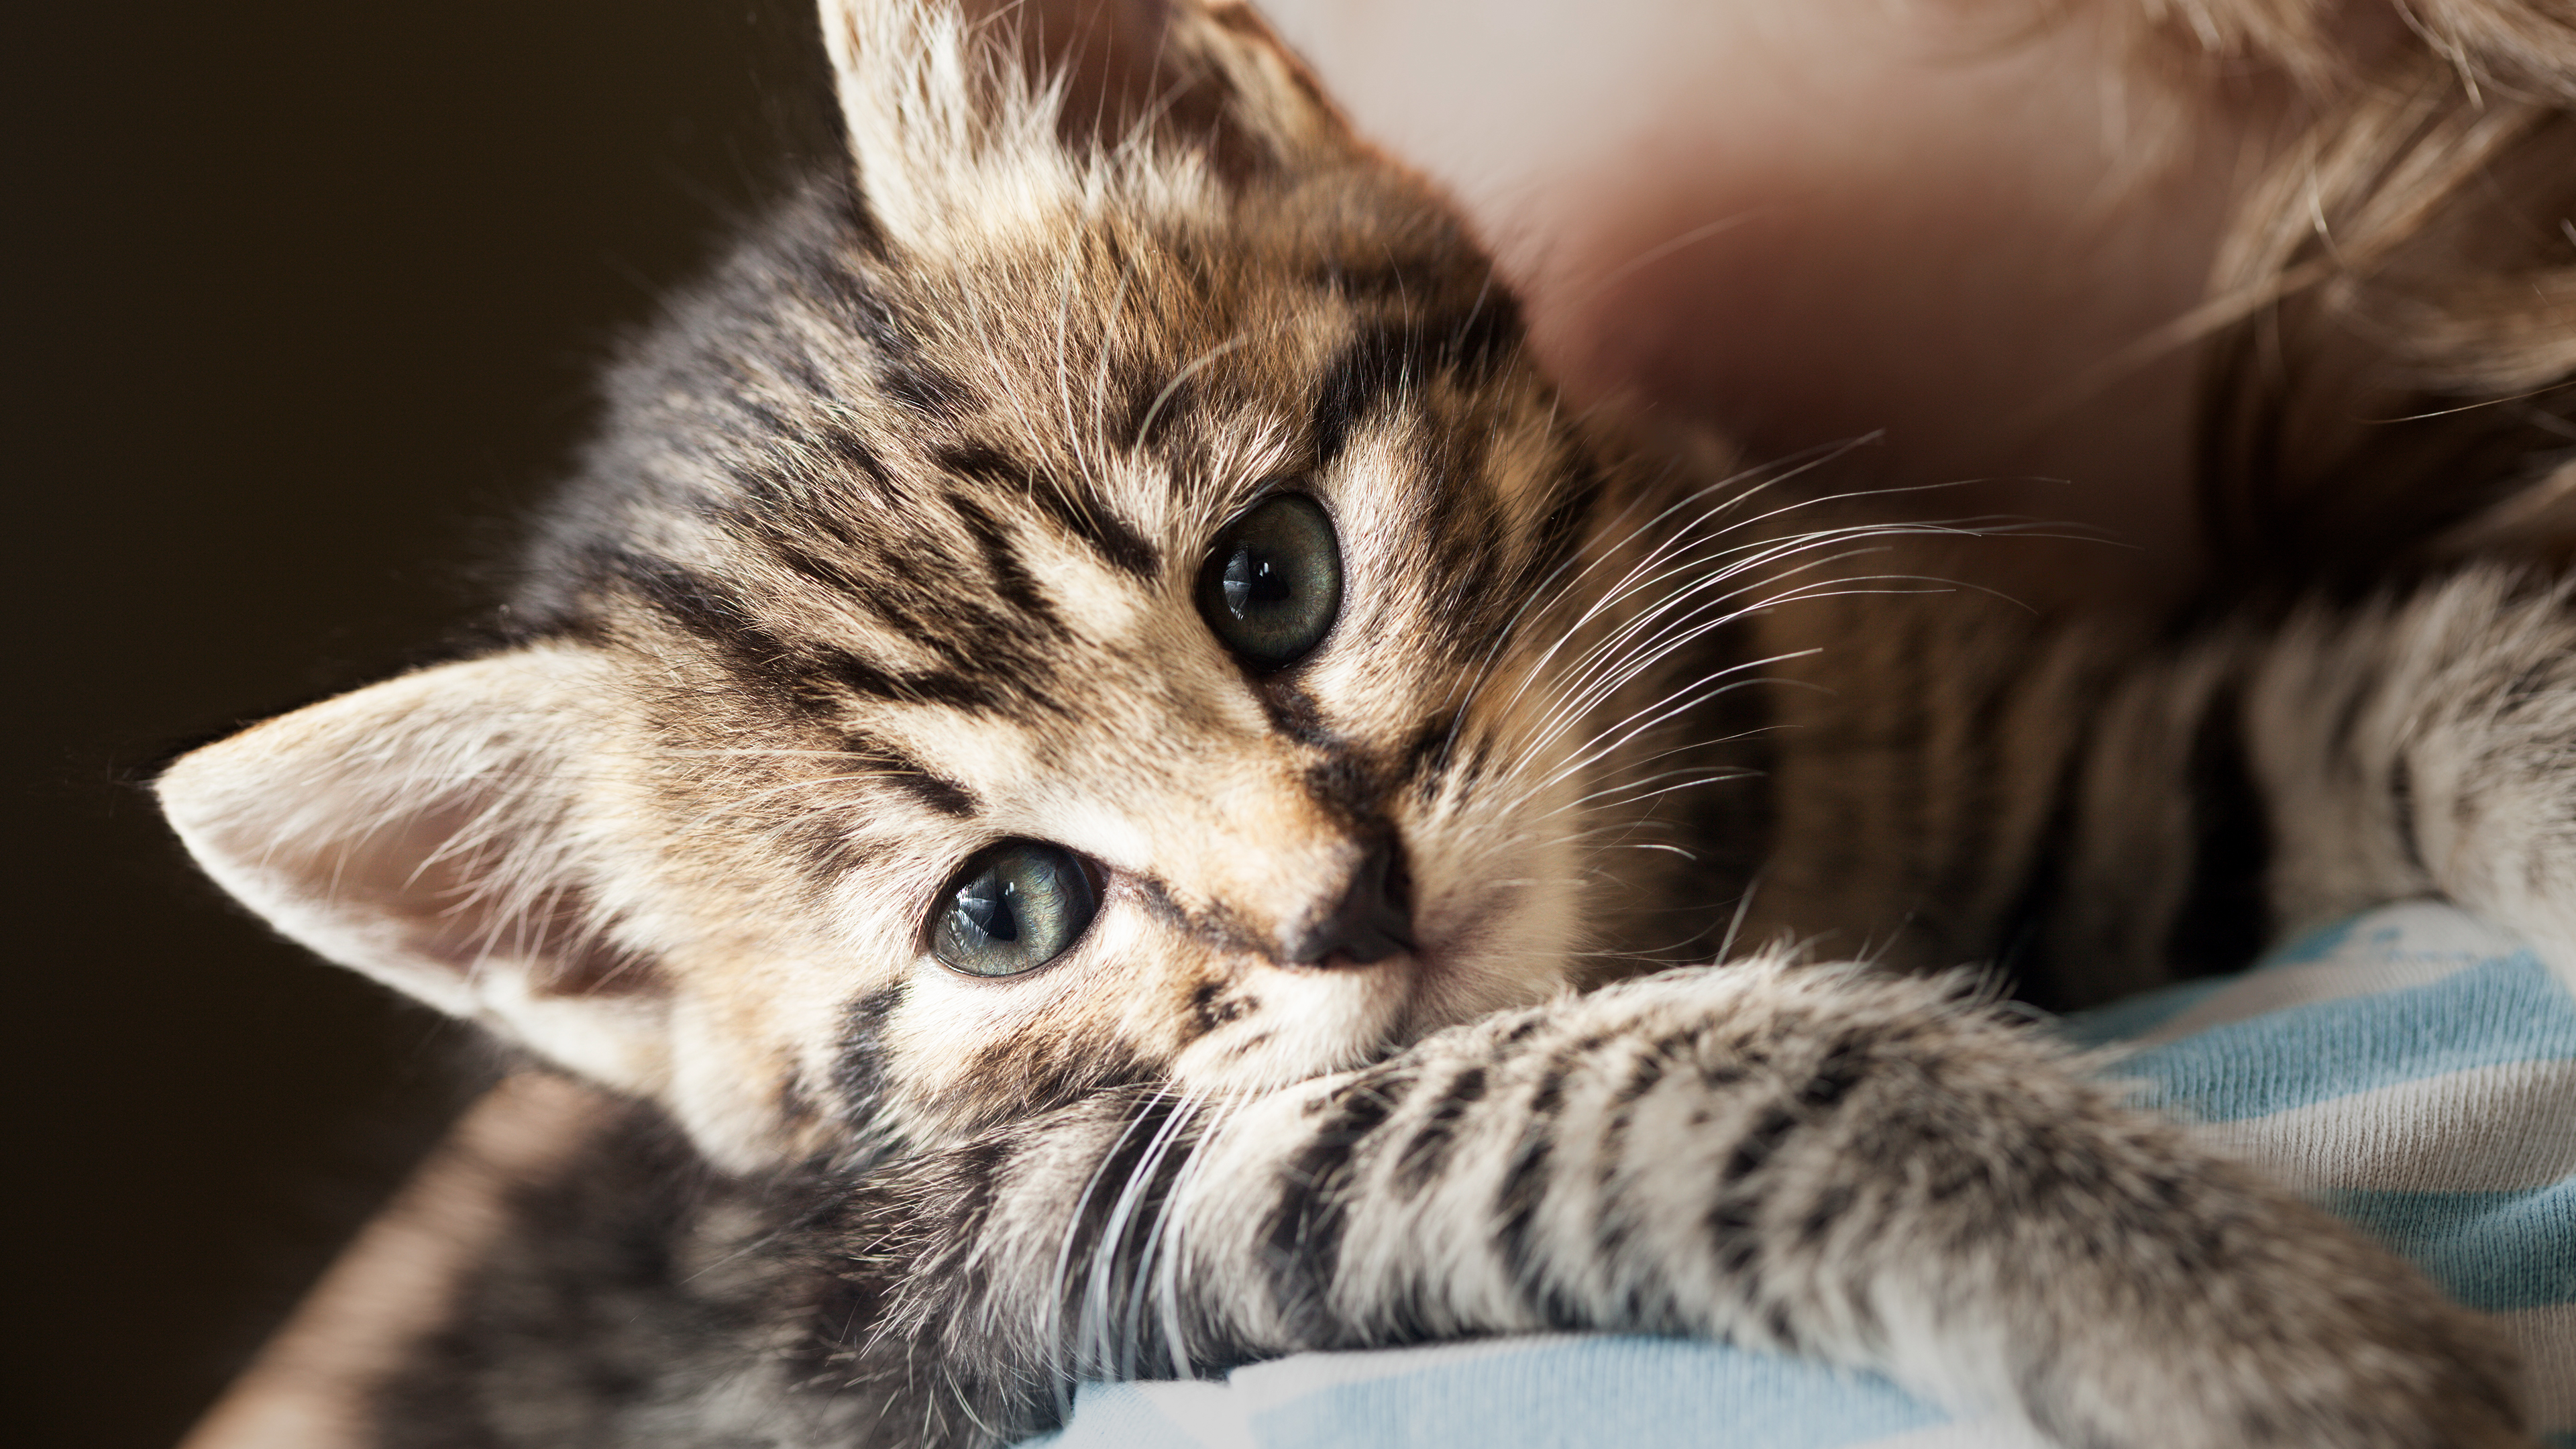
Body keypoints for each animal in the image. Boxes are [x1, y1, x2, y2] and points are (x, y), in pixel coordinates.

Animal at [156, 3, 2555, 1444]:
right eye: (1002, 914)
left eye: (1272, 580)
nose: (1348, 898)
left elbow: (2367, 684)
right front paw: (2235, 1320)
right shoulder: (1010, 1250)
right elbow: (1648, 1077)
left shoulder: (2032, 769)